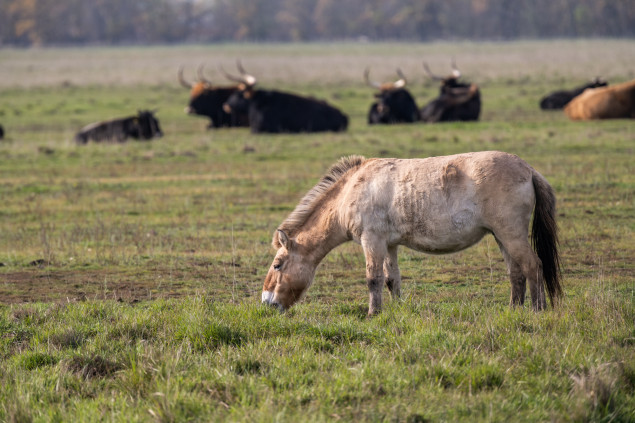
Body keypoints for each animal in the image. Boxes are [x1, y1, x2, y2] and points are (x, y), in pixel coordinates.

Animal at [262, 152, 560, 314]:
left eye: (278, 265)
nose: (266, 303)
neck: (351, 189)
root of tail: (528, 170)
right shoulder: (389, 245)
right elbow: (391, 279)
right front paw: (396, 310)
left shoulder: (371, 241)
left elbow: (373, 279)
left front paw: (373, 313)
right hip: (501, 237)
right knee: (516, 273)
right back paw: (513, 310)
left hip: (511, 235)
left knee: (533, 266)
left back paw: (537, 310)